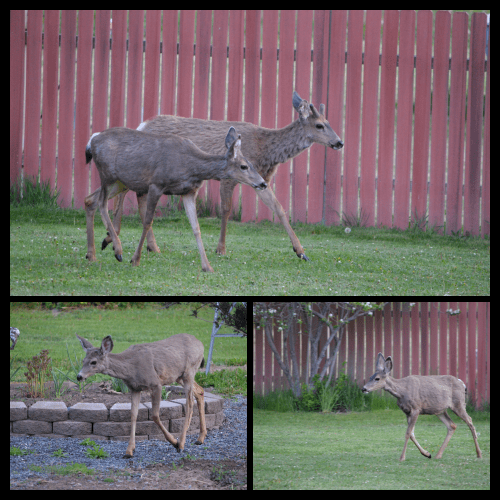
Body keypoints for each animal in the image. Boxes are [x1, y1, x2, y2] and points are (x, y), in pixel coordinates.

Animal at [76, 333, 207, 459]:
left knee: (189, 403)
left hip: (189, 371)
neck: (131, 369)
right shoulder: (135, 389)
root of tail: (200, 343)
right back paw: (200, 438)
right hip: (178, 376)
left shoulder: (156, 384)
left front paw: (174, 442)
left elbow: (155, 415)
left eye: (93, 362)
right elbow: (133, 415)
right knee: (200, 391)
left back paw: (181, 444)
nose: (79, 376)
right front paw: (129, 451)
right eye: (83, 361)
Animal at [84, 126, 267, 272]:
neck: (191, 167)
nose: (263, 183)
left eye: (252, 164)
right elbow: (147, 222)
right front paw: (135, 260)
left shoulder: (188, 192)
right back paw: (117, 250)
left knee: (90, 200)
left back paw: (92, 254)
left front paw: (207, 266)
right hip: (107, 174)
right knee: (101, 204)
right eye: (244, 166)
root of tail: (92, 140)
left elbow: (196, 228)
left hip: (120, 182)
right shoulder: (156, 184)